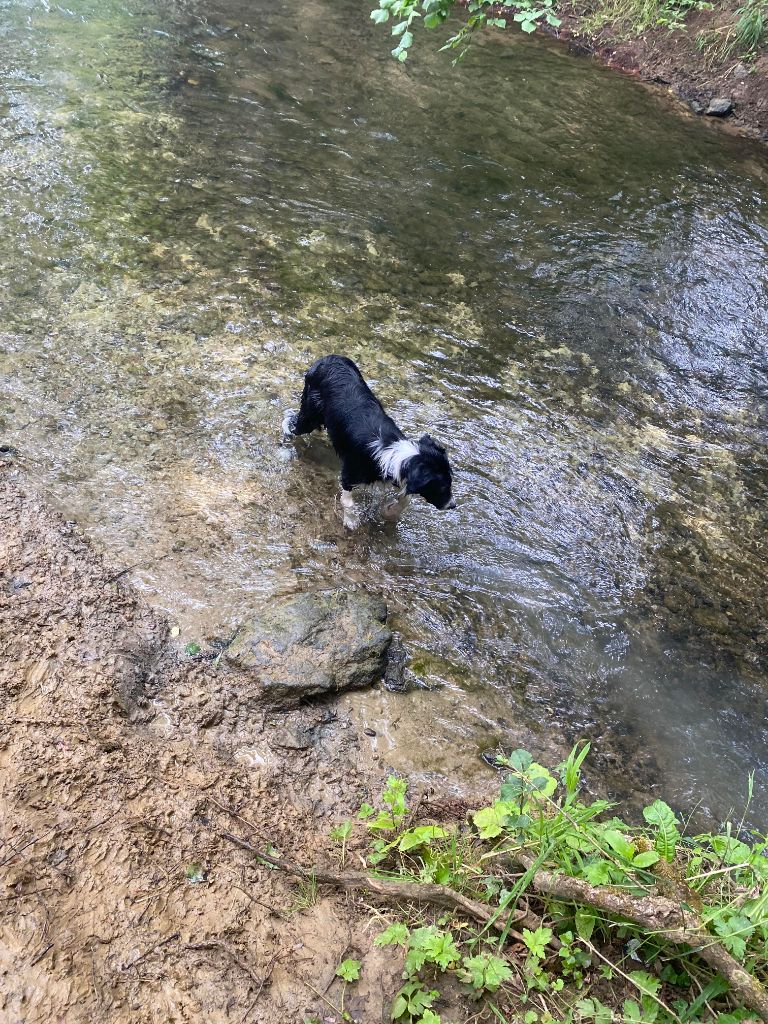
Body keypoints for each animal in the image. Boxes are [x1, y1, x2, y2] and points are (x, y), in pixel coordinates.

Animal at [282, 354, 454, 528]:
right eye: (441, 487)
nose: (452, 505)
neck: (391, 450)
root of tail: (328, 358)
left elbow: (405, 500)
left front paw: (389, 513)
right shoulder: (350, 473)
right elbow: (347, 501)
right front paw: (351, 521)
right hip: (310, 415)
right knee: (293, 423)